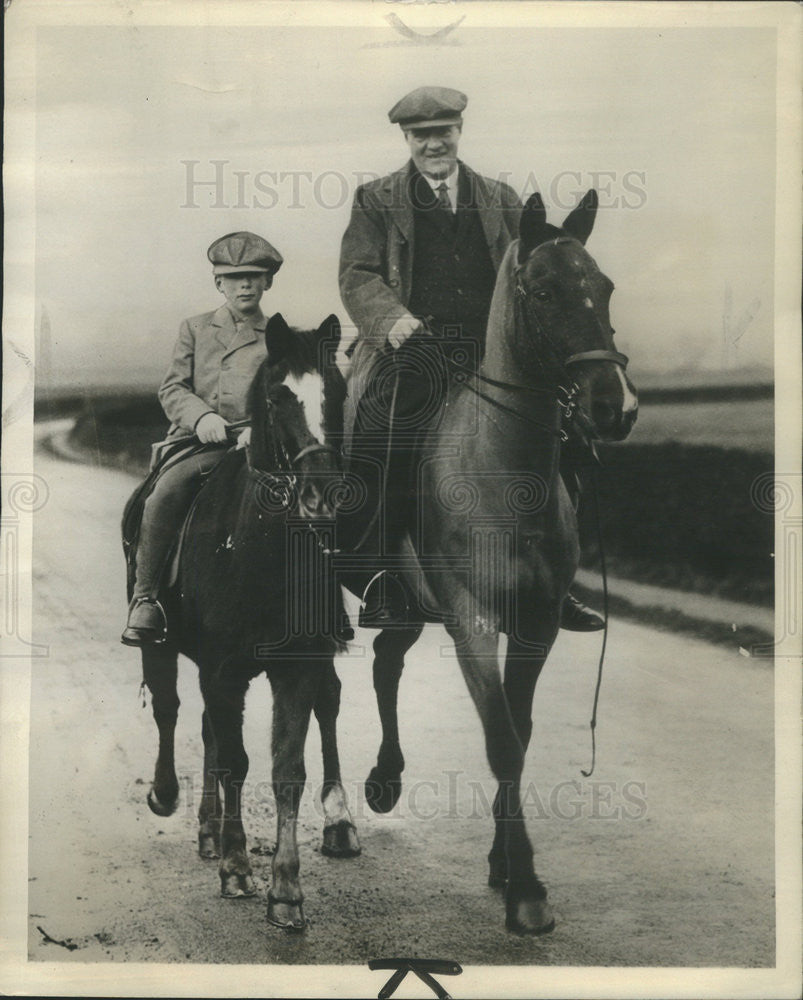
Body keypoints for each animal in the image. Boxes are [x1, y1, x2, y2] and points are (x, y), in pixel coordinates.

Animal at [124, 316, 360, 932]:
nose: (321, 497)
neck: (259, 549)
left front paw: (286, 889)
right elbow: (234, 762)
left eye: (336, 393)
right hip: (162, 644)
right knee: (169, 708)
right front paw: (236, 866)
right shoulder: (222, 669)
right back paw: (172, 799)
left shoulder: (296, 667)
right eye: (277, 398)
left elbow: (285, 769)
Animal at [358, 189, 640, 936]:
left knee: (387, 662)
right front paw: (527, 890)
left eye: (604, 286)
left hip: (411, 604)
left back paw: (386, 778)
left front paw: (503, 863)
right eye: (542, 293)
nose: (615, 406)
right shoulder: (472, 622)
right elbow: (501, 740)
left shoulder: (536, 623)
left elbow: (520, 728)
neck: (505, 475)